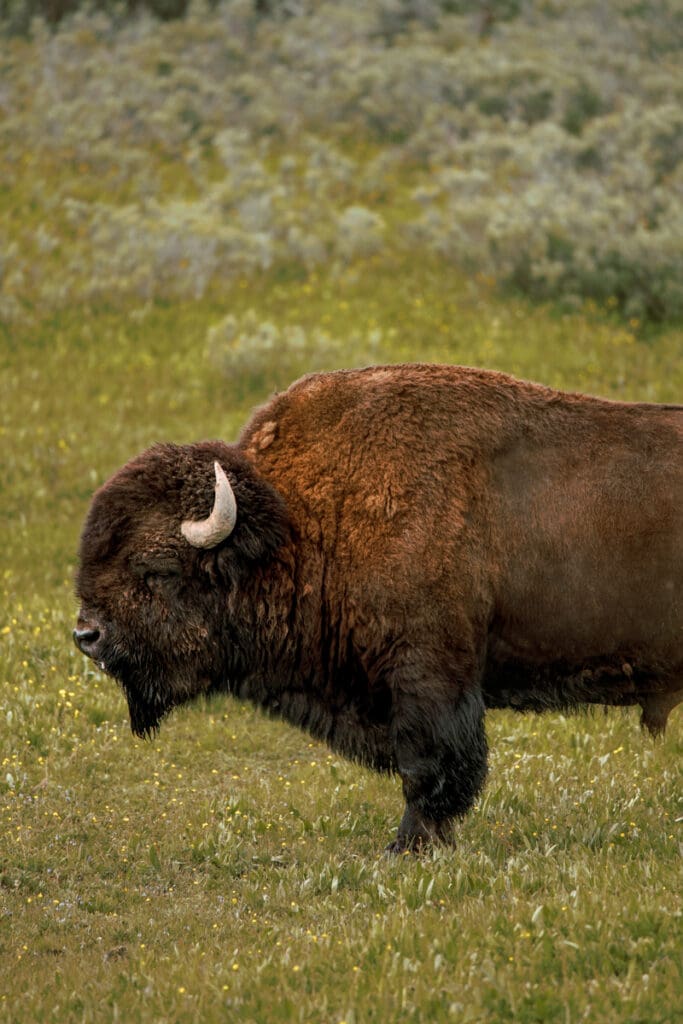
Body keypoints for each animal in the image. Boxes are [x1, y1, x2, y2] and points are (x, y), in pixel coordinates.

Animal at [74, 364, 682, 852]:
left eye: (159, 570)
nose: (87, 636)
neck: (304, 523)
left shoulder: (429, 676)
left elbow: (431, 768)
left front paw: (409, 847)